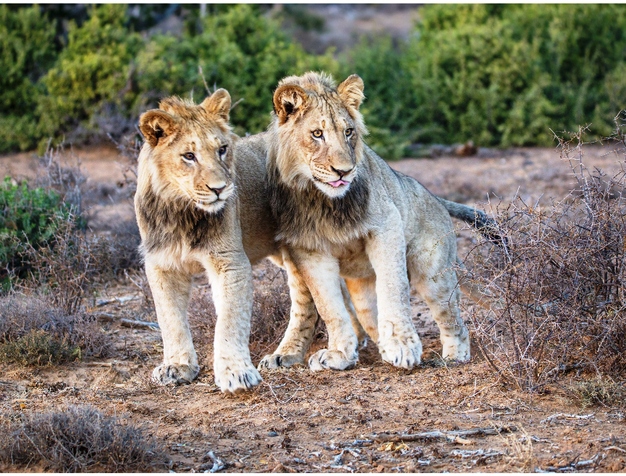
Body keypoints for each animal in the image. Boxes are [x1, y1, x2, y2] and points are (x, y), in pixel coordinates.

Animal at [264, 71, 472, 372]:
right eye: (317, 134)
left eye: (348, 132)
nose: (344, 171)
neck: (324, 202)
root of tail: (436, 199)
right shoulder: (309, 252)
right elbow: (329, 306)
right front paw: (339, 354)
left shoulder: (386, 225)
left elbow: (393, 288)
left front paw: (403, 346)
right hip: (361, 288)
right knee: (366, 317)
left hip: (434, 275)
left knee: (453, 319)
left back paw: (454, 355)